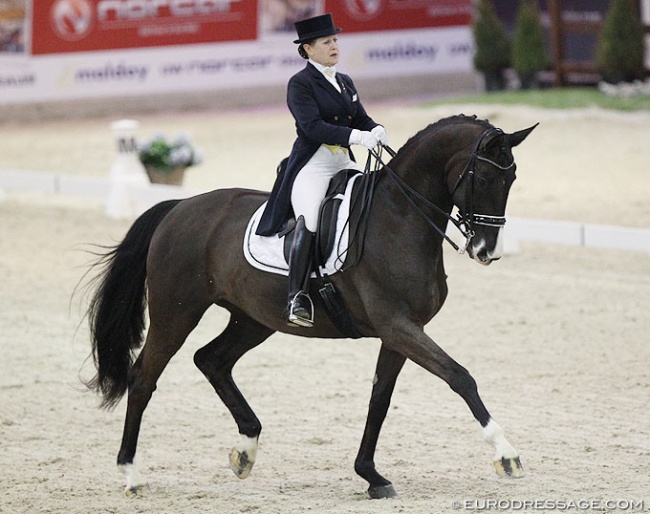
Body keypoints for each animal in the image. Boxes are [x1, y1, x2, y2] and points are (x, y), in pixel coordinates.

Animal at [87, 115, 536, 496]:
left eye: (512, 177)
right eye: (484, 177)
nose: (487, 250)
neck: (399, 218)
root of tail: (178, 208)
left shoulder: (400, 332)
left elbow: (380, 399)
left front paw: (371, 475)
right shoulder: (398, 326)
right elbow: (460, 377)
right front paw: (506, 455)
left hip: (253, 319)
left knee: (211, 360)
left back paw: (245, 450)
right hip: (175, 313)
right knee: (144, 378)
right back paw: (132, 475)